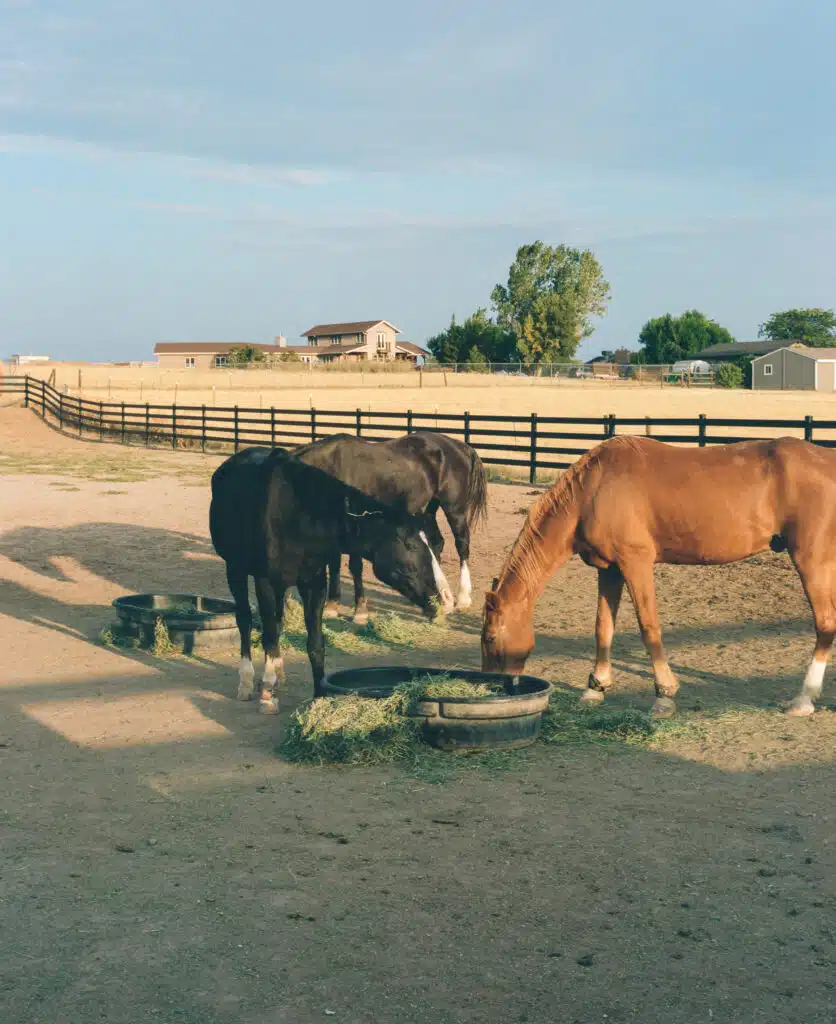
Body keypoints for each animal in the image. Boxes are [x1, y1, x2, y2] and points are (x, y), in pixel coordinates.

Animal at [209, 446, 455, 712]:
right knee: (245, 620)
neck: (298, 516)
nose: (446, 598)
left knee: (277, 620)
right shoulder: (264, 580)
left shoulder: (314, 583)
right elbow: (269, 635)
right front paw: (267, 694)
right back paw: (247, 681)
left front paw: (319, 696)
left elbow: (315, 644)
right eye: (410, 545)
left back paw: (278, 673)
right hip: (236, 569)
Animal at [290, 430, 488, 623]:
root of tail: (460, 445)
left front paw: (360, 611)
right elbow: (334, 564)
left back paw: (462, 598)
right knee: (437, 542)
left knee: (462, 544)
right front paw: (332, 605)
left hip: (454, 509)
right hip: (428, 510)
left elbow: (355, 567)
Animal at [481, 434, 836, 718]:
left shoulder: (636, 563)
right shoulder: (609, 570)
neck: (593, 489)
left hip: (811, 560)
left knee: (825, 623)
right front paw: (595, 688)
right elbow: (603, 627)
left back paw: (804, 699)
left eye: (491, 638)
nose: (492, 689)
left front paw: (663, 695)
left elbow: (648, 626)